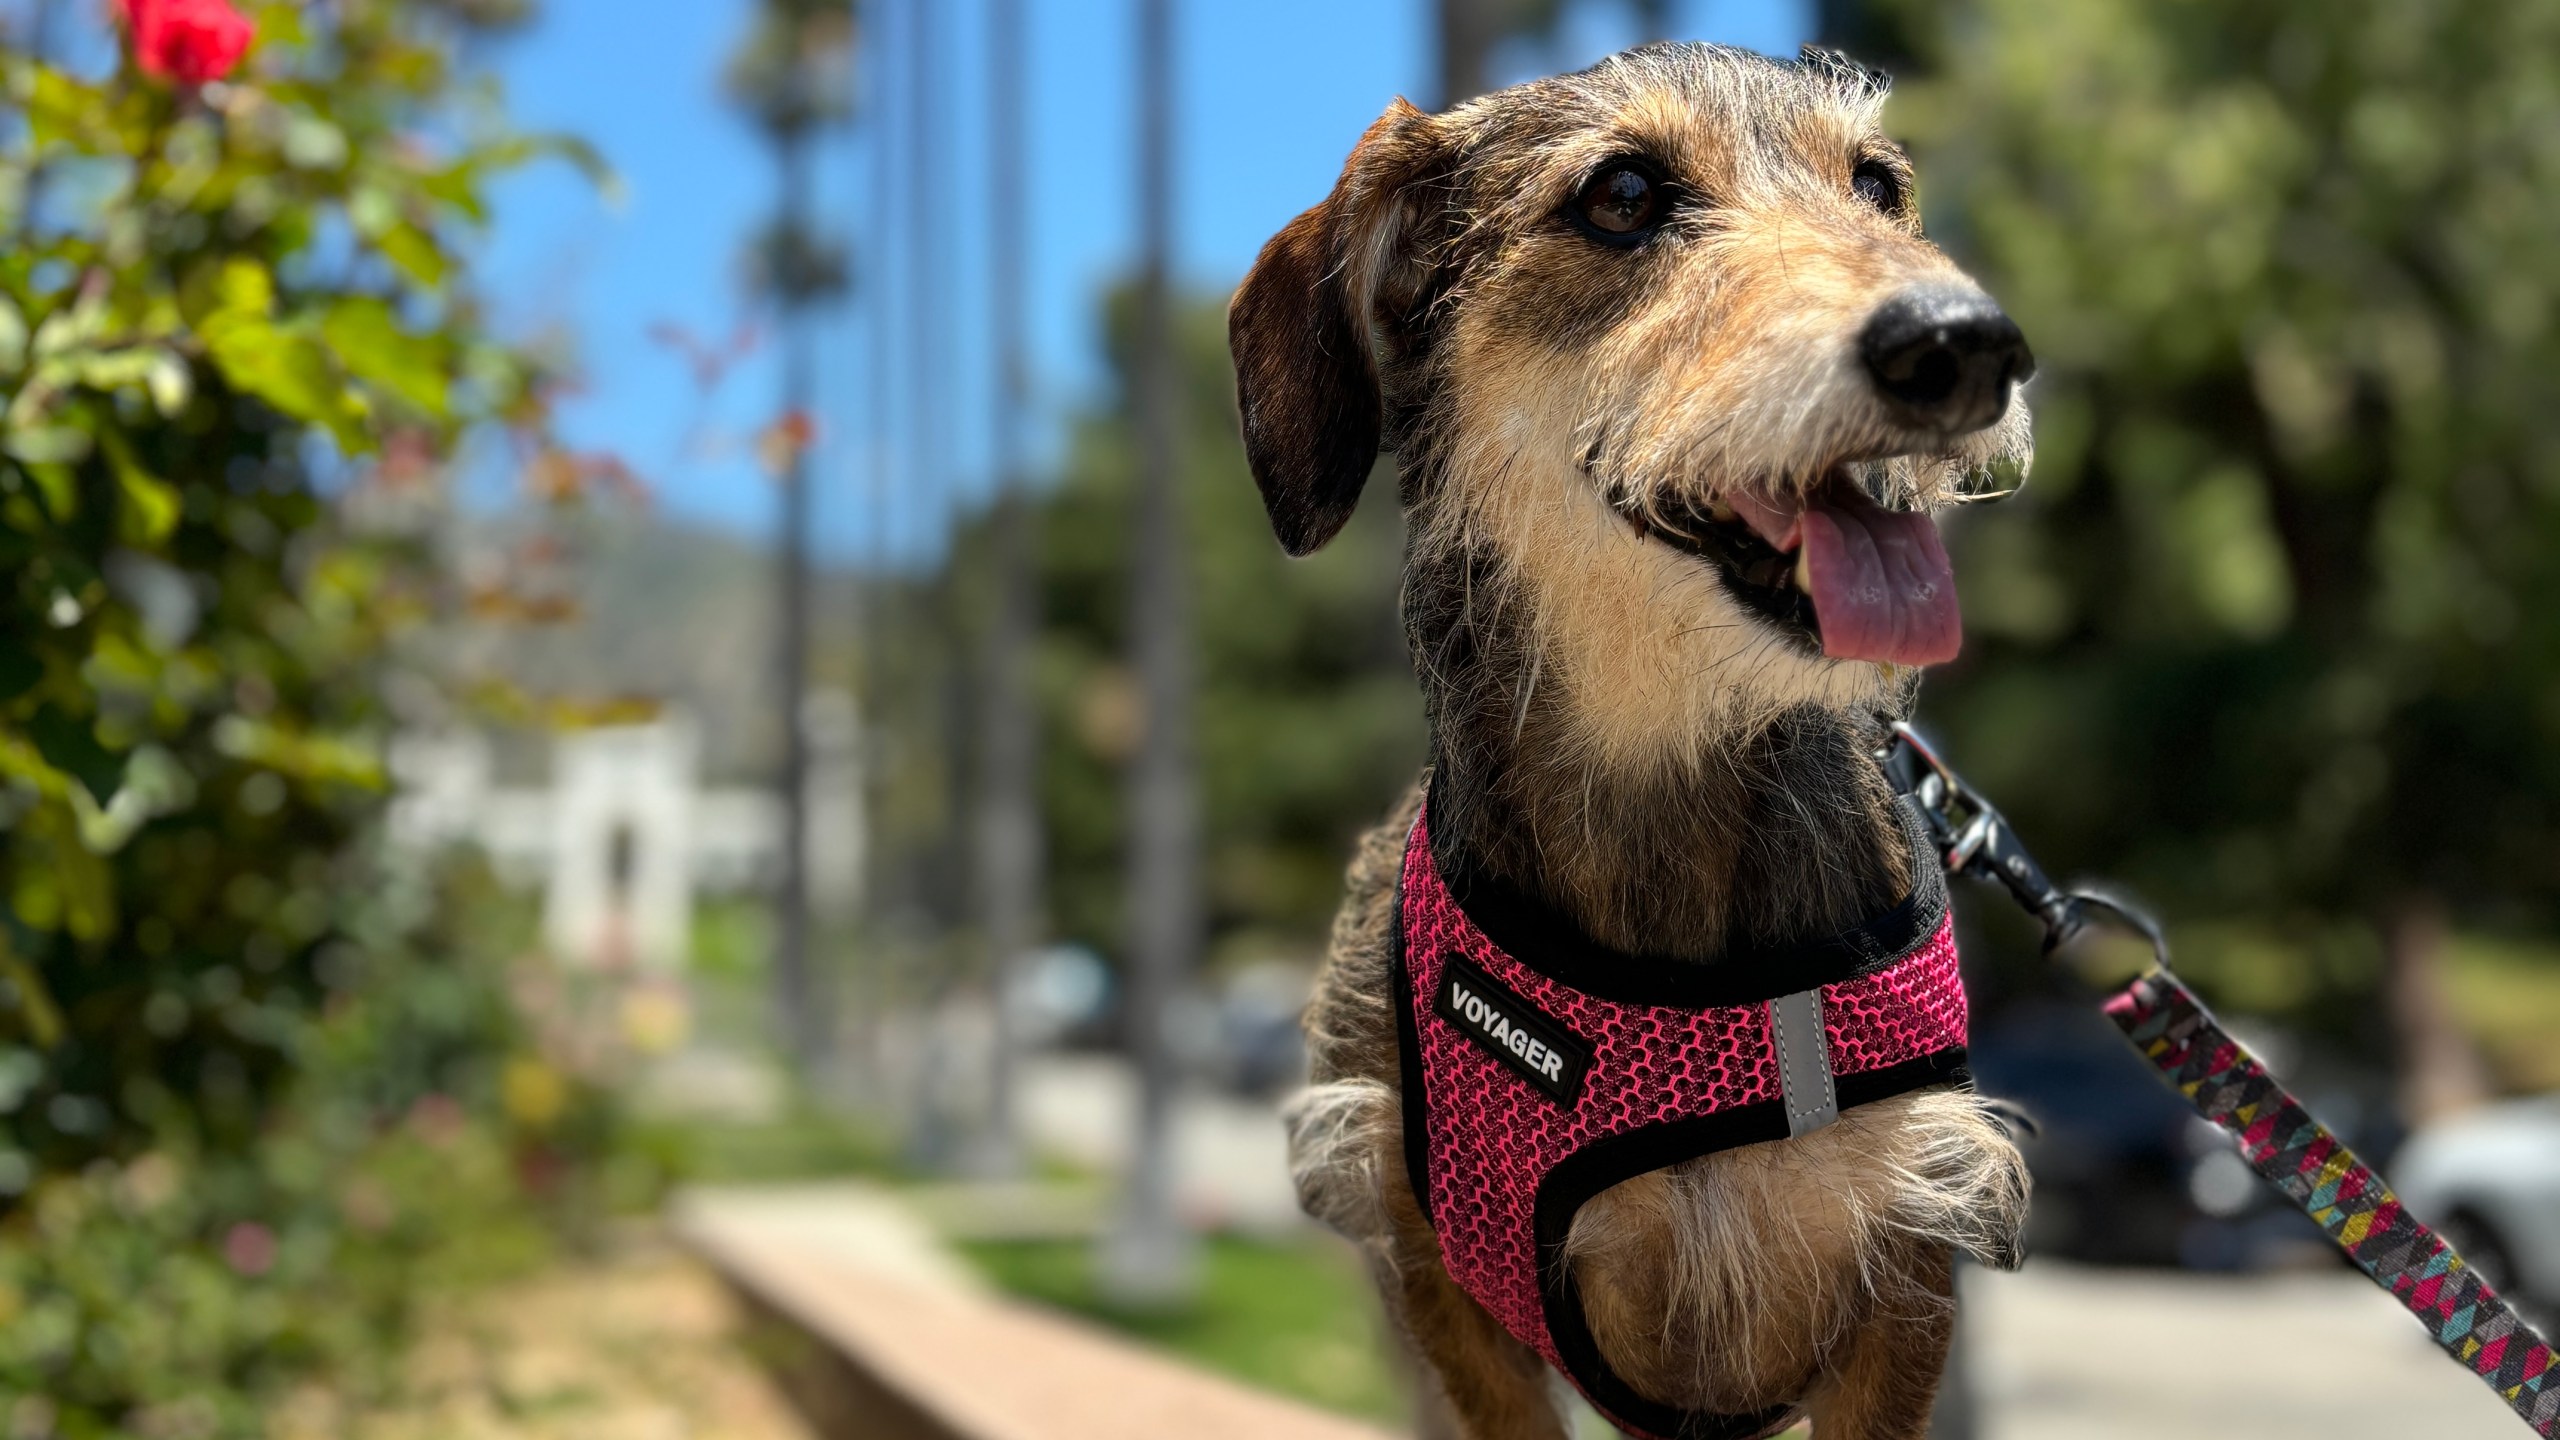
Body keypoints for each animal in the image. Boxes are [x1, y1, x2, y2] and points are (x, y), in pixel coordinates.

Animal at [1233, 39, 2037, 1424]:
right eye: (1621, 195)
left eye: (1877, 185)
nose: (1964, 341)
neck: (1660, 768)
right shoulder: (1424, 1269)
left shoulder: (1909, 1243)